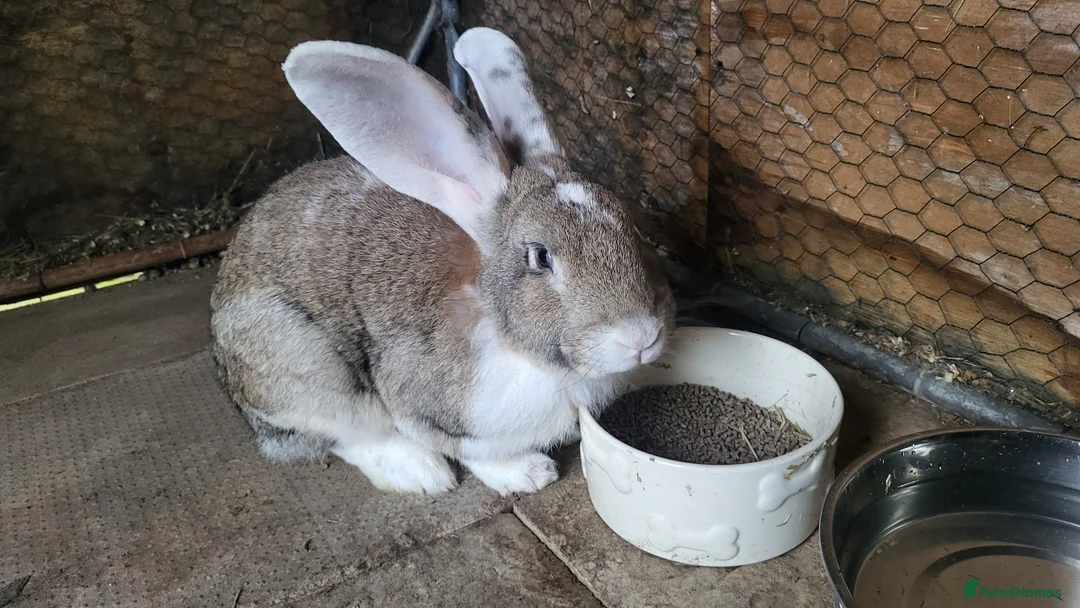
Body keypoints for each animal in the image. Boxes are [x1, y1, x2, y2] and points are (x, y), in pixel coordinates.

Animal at [209, 27, 676, 497]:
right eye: (541, 257)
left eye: (631, 227)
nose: (640, 337)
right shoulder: (422, 408)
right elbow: (472, 452)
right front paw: (529, 474)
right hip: (309, 374)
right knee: (338, 437)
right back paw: (421, 473)